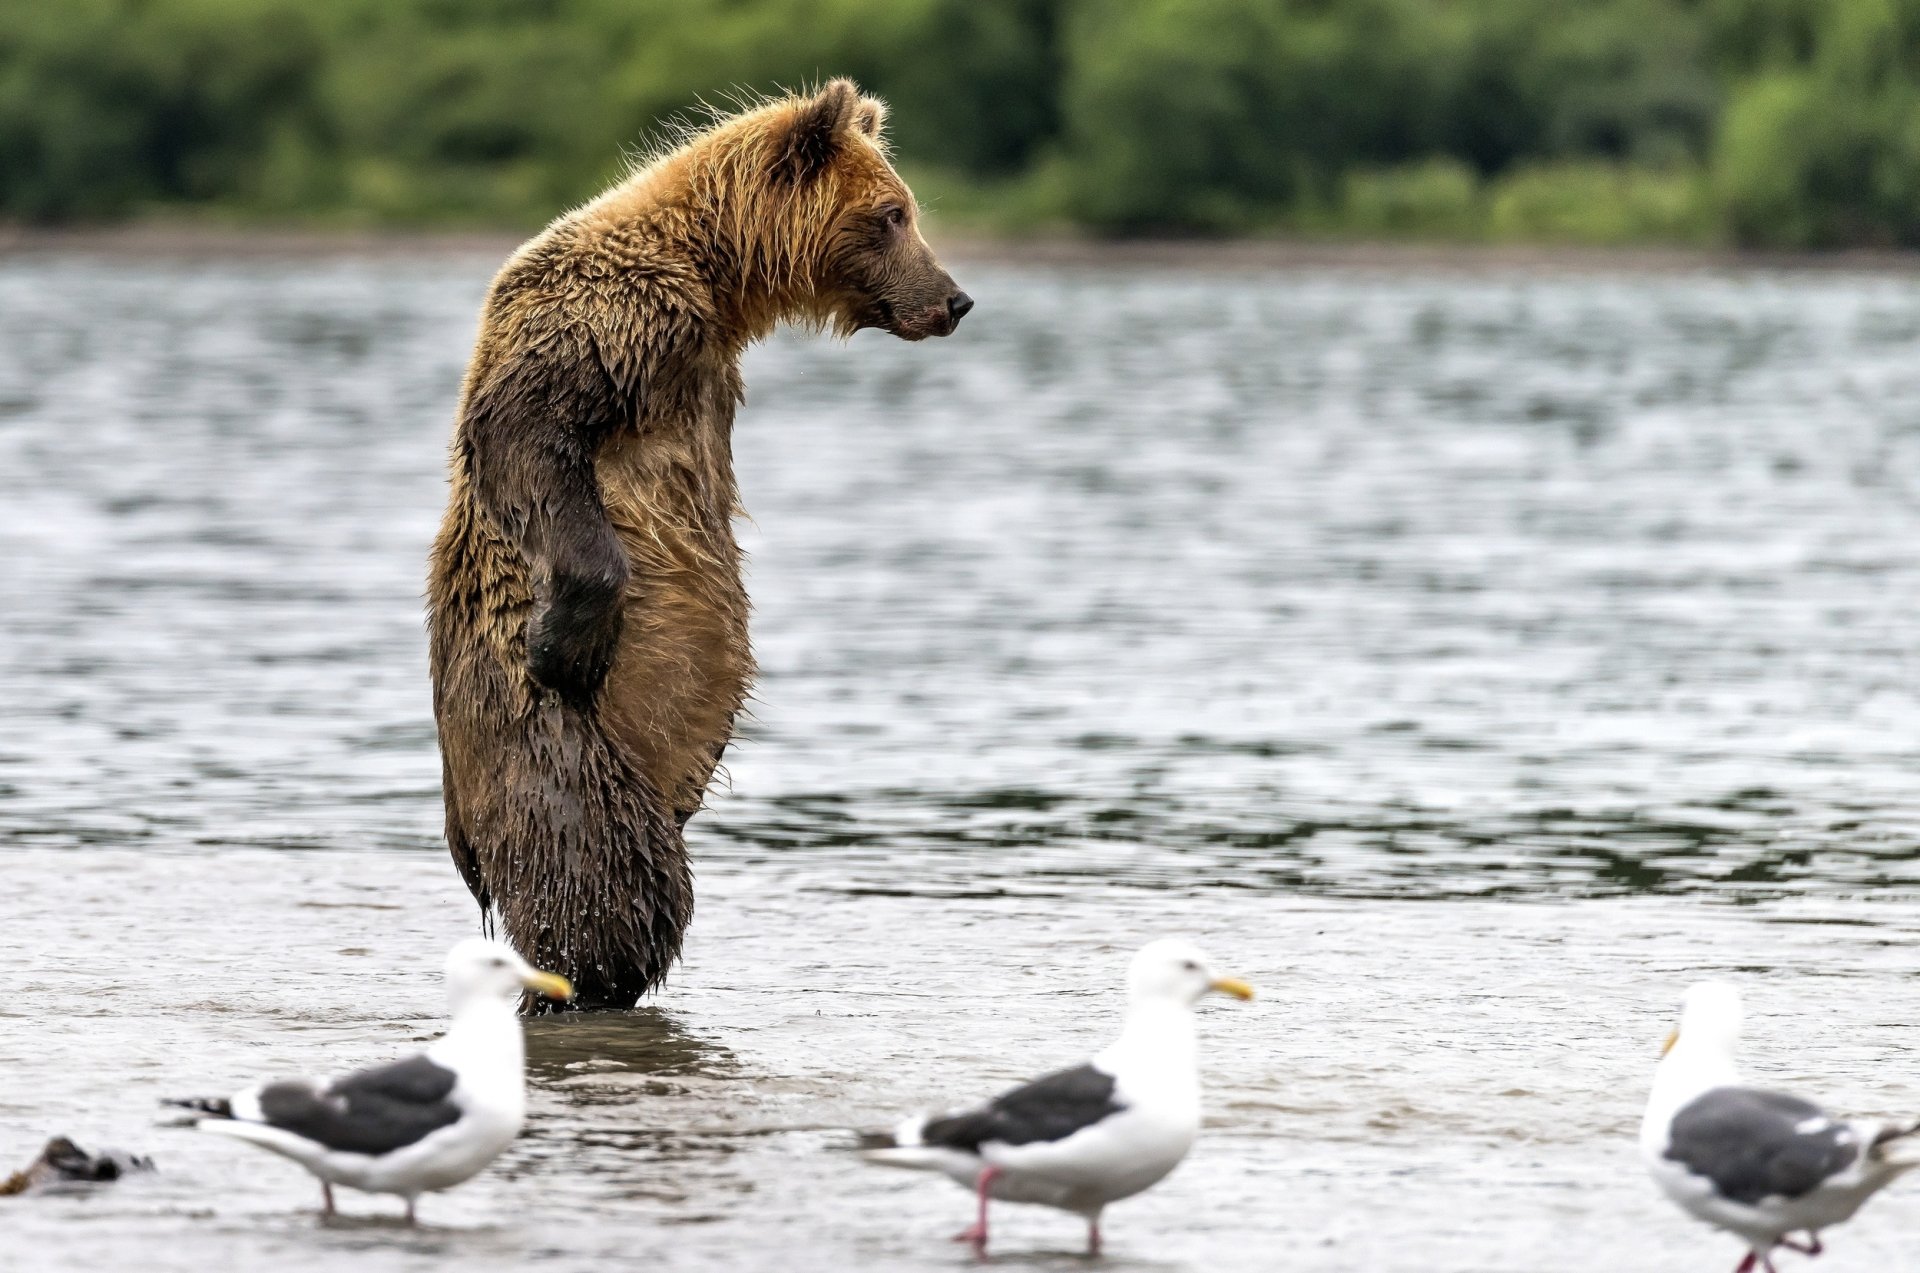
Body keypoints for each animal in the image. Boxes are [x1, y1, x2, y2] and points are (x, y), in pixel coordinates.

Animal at [427, 80, 971, 1009]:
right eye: (893, 214)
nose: (955, 299)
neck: (716, 280)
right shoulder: (612, 321)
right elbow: (529, 434)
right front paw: (565, 641)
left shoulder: (702, 366)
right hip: (548, 751)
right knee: (605, 888)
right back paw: (576, 981)